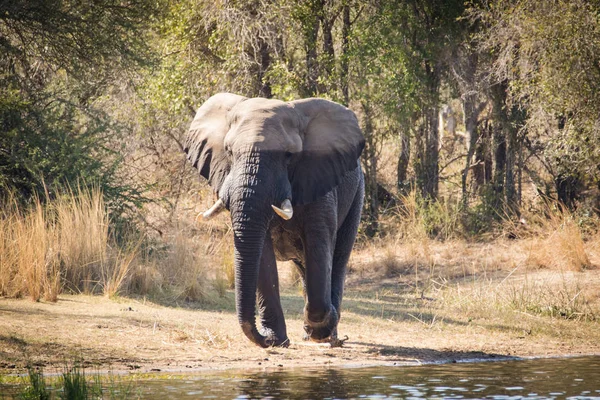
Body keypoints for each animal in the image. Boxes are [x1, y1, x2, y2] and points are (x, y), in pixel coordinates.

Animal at [184, 93, 366, 346]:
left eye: (289, 155)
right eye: (229, 151)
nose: (264, 339)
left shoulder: (319, 181)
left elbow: (319, 243)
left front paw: (320, 327)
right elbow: (262, 252)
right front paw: (277, 340)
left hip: (358, 192)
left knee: (338, 258)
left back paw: (329, 336)